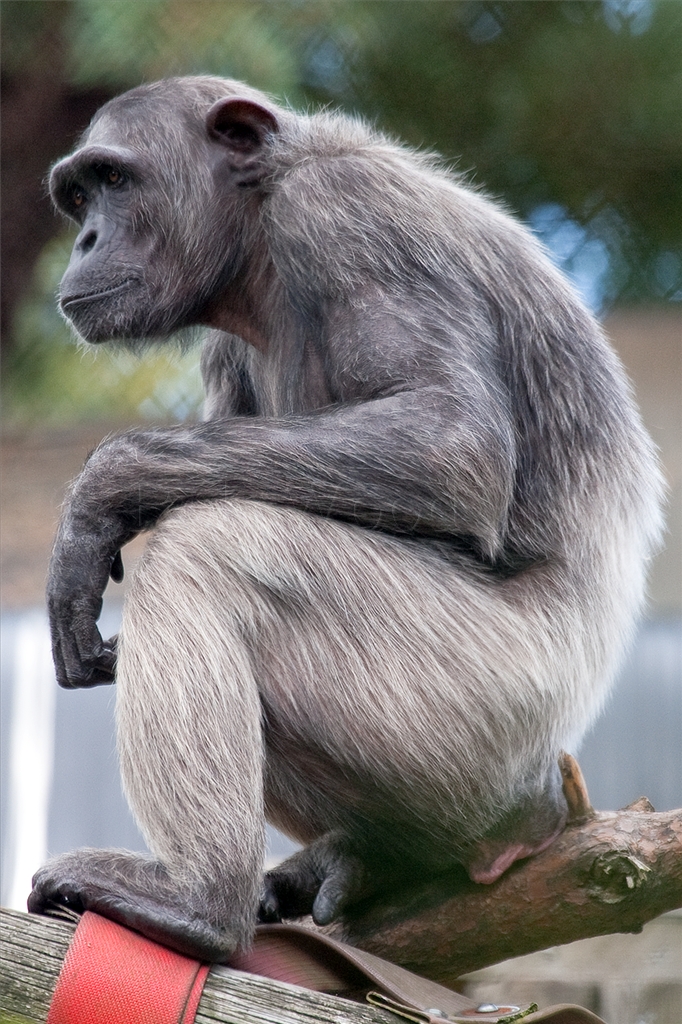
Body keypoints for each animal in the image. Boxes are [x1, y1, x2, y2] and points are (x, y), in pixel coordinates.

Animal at [28, 76, 663, 962]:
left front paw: (99, 496)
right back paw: (367, 857)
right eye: (80, 195)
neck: (257, 239)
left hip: (484, 701)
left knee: (215, 548)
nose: (86, 238)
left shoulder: (344, 220)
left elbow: (448, 437)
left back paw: (196, 899)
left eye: (115, 180)